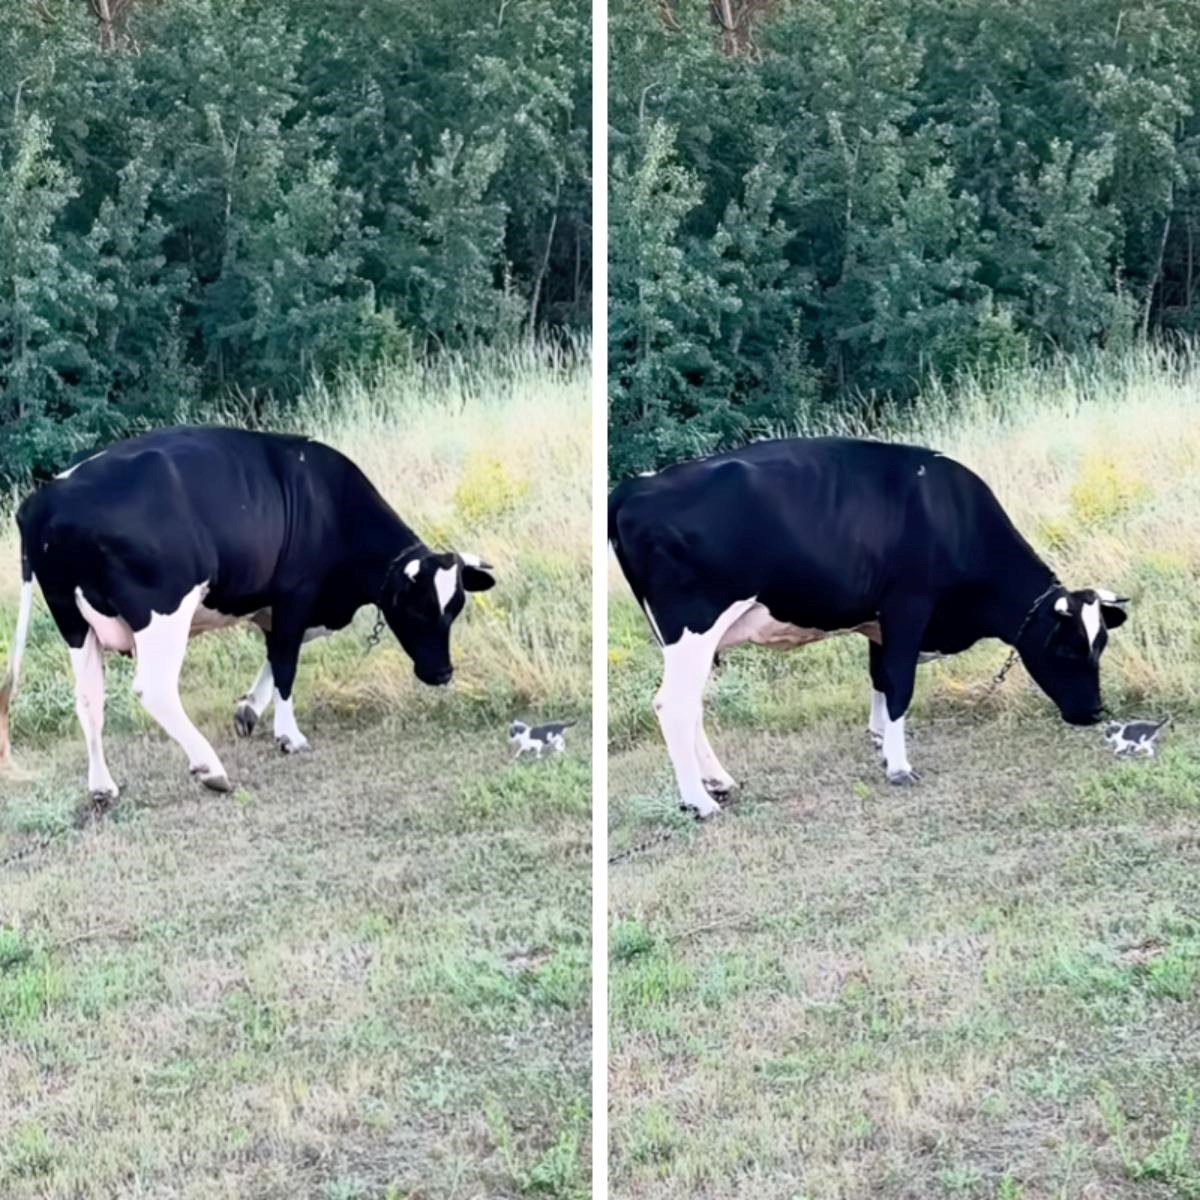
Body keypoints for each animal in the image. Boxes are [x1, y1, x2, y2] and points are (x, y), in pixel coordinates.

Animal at [0, 427, 496, 801]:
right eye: (416, 607)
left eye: (454, 608)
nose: (442, 673)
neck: (329, 502)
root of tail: (47, 498)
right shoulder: (296, 594)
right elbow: (287, 664)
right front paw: (288, 735)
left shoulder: (279, 604)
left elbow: (276, 654)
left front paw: (248, 711)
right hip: (163, 613)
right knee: (154, 689)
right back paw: (210, 768)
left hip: (73, 622)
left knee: (88, 699)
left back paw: (102, 786)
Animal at [609, 436, 1123, 820]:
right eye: (1067, 648)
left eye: (1101, 644)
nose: (1095, 712)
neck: (949, 515)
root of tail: (635, 487)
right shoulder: (907, 606)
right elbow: (900, 685)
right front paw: (898, 766)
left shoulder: (878, 621)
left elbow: (879, 677)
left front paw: (879, 740)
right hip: (694, 628)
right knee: (673, 705)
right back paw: (699, 801)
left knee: (690, 705)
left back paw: (718, 781)